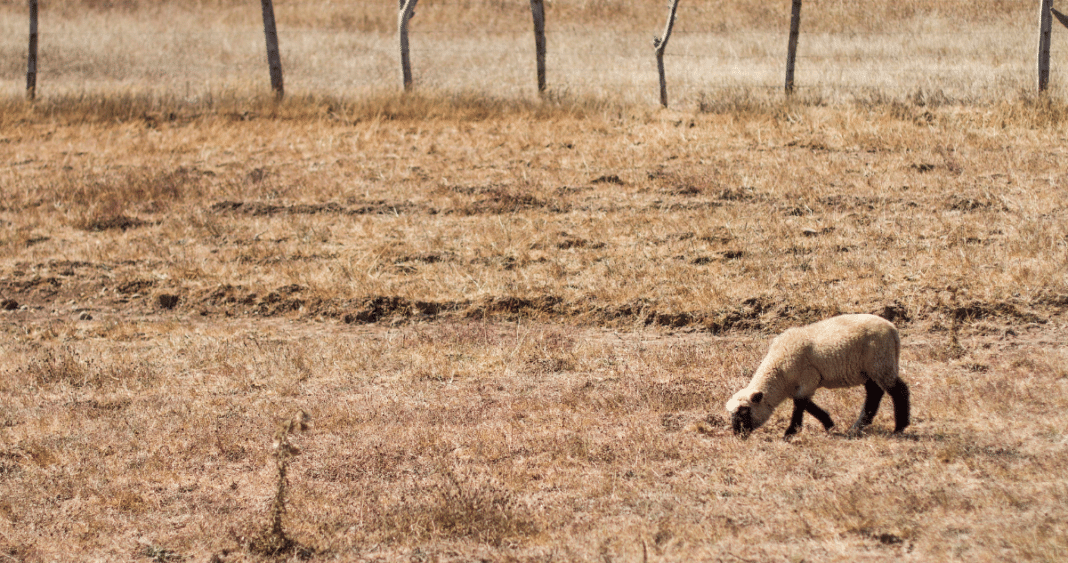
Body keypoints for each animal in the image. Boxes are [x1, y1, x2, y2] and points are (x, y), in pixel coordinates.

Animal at [726, 311, 909, 440]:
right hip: (871, 369)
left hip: (880, 362)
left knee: (898, 391)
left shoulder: (808, 378)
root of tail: (893, 330)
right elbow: (807, 405)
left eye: (744, 412)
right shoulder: (799, 385)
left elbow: (800, 404)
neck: (780, 375)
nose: (738, 435)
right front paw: (829, 424)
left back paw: (899, 427)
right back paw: (859, 426)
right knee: (874, 393)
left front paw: (789, 433)